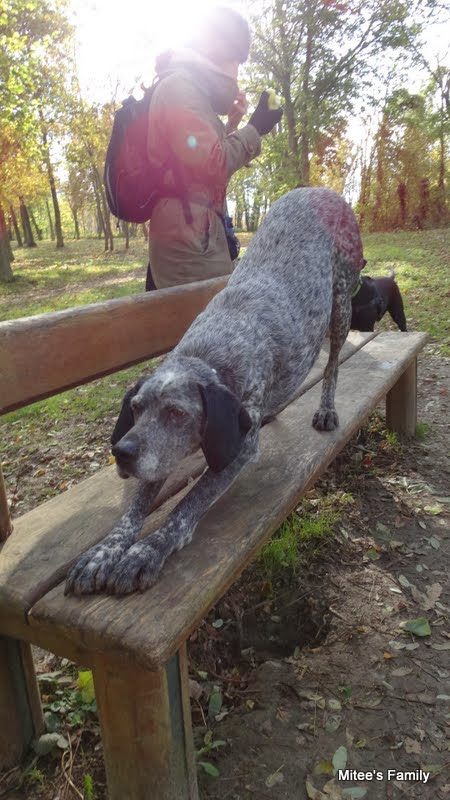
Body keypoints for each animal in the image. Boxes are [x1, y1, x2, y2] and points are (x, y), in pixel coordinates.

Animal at [66, 188, 362, 596]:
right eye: (137, 408)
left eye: (177, 413)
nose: (121, 453)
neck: (211, 352)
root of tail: (322, 191)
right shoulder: (158, 452)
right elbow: (133, 509)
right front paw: (106, 550)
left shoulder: (237, 452)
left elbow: (186, 506)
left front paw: (147, 550)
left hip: (341, 304)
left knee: (331, 364)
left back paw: (326, 408)